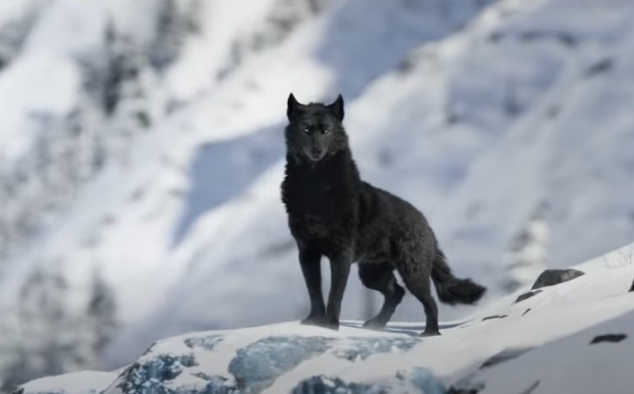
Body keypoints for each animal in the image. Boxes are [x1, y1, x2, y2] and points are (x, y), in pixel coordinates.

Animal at [280, 94, 484, 338]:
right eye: (306, 129)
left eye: (326, 130)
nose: (316, 151)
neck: (315, 186)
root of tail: (426, 224)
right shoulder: (307, 252)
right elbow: (315, 291)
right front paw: (314, 323)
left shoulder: (341, 253)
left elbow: (335, 294)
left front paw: (329, 326)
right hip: (372, 273)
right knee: (396, 293)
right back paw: (375, 324)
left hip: (411, 272)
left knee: (429, 302)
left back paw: (430, 333)